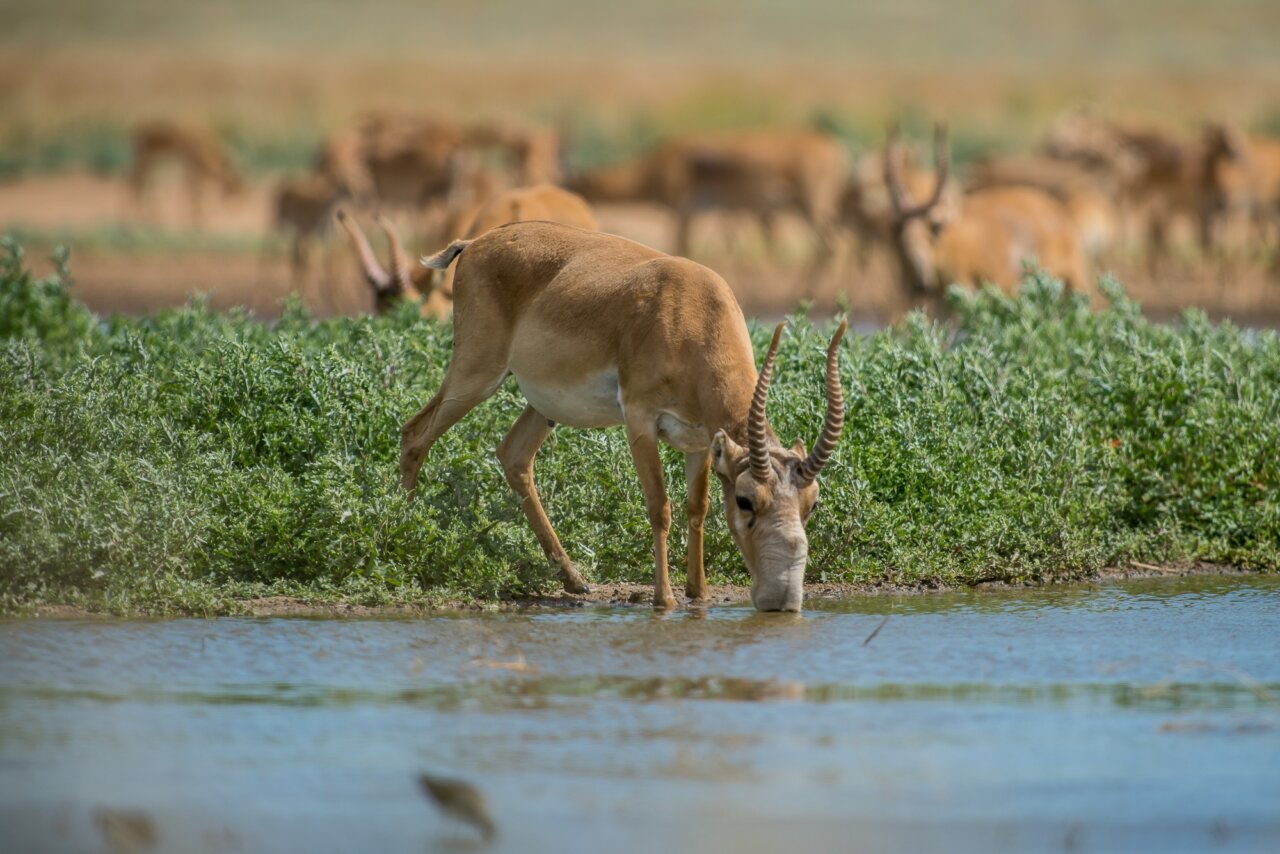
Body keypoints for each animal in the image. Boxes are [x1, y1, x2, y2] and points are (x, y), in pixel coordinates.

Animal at [394, 220, 844, 606]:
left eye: (812, 503)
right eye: (747, 500)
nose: (782, 595)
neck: (692, 310)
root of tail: (475, 244)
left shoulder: (699, 441)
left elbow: (696, 508)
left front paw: (698, 593)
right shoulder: (640, 422)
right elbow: (659, 507)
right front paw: (664, 599)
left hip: (542, 406)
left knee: (513, 456)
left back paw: (575, 580)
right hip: (477, 373)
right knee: (415, 432)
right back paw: (408, 533)